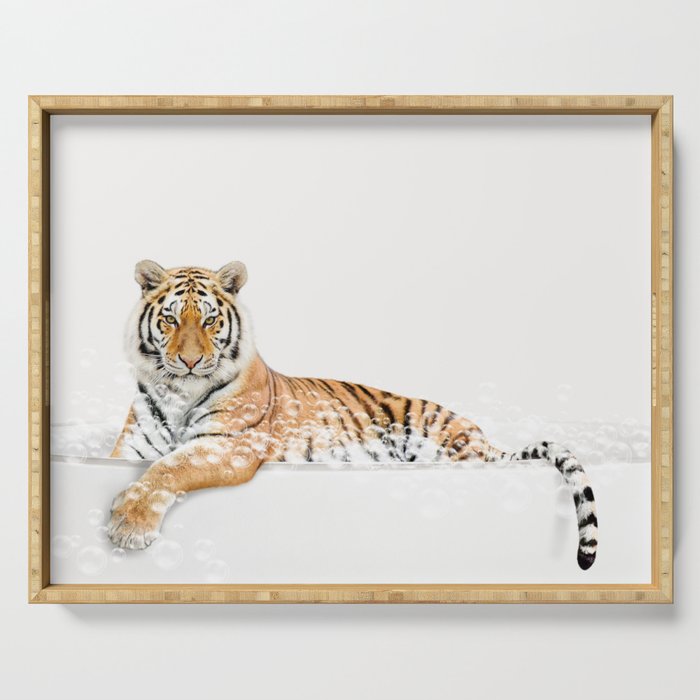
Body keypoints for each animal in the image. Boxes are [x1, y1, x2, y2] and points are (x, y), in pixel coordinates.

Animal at [107, 260, 598, 570]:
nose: (190, 362)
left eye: (209, 321)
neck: (180, 392)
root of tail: (483, 438)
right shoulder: (130, 448)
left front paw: (128, 526)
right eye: (171, 320)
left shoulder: (231, 444)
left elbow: (172, 467)